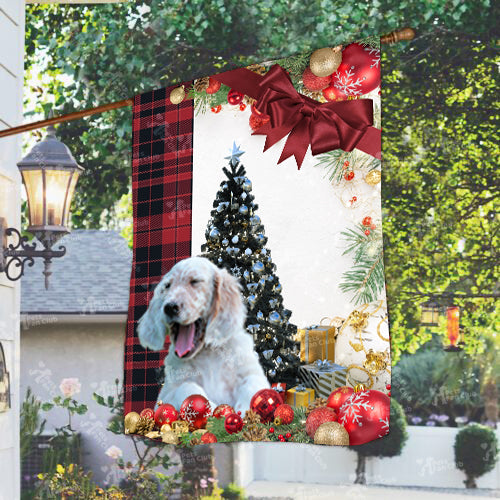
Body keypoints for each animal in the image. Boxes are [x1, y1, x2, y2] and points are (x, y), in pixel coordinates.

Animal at [137, 256, 270, 412]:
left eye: (195, 281)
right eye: (167, 286)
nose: (169, 307)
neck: (208, 352)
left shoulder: (251, 373)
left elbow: (253, 384)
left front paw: (242, 411)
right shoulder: (166, 394)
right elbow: (186, 387)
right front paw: (212, 407)